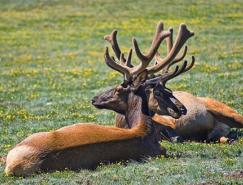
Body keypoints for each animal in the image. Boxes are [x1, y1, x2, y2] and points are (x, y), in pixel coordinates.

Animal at [98, 22, 243, 142]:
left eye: (169, 91)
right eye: (157, 92)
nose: (183, 109)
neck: (125, 124)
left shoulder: (169, 125)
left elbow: (173, 137)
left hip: (226, 110)